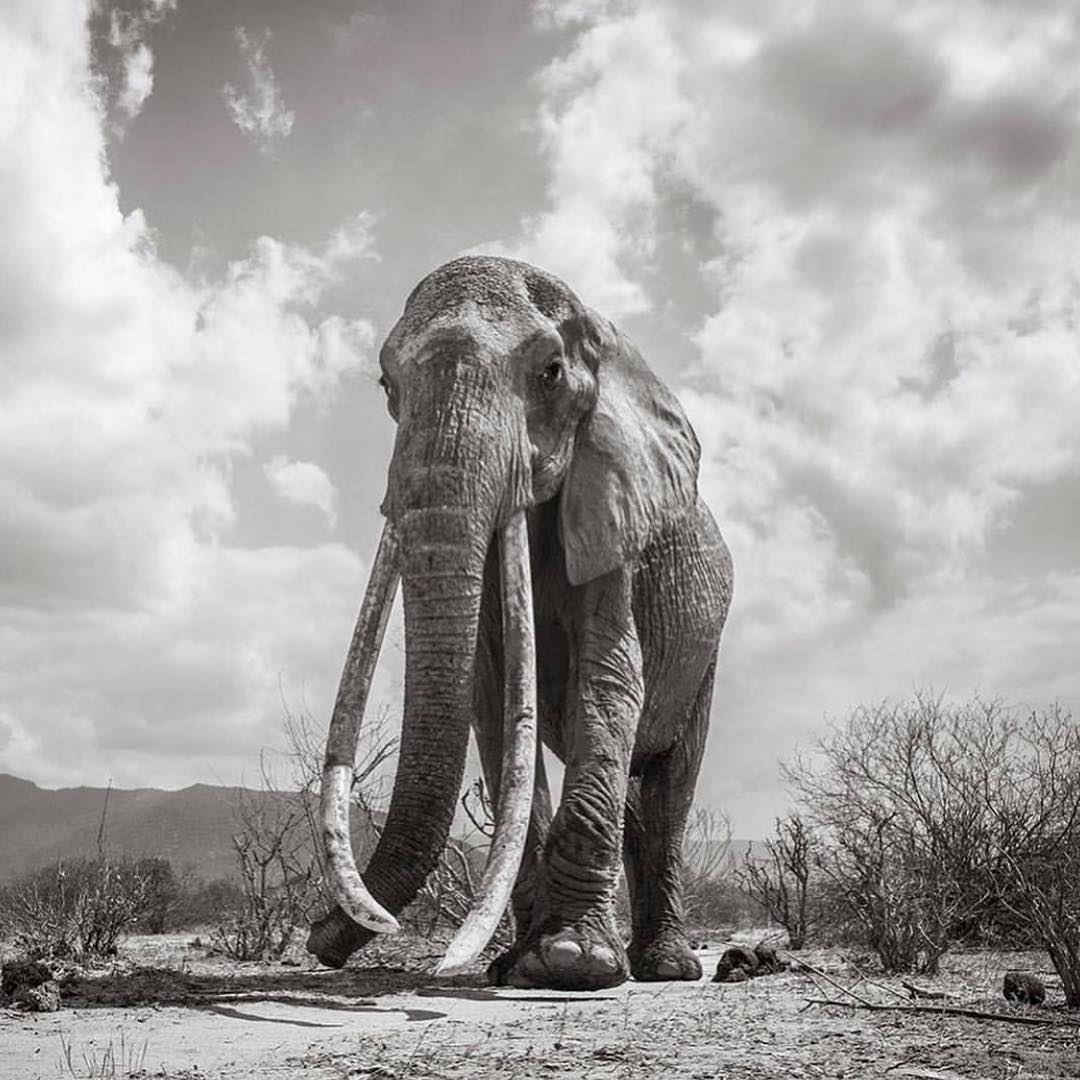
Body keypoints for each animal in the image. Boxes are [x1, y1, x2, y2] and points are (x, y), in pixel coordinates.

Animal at [305, 255, 732, 991]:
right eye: (387, 384)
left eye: (550, 372)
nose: (316, 941)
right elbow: (496, 701)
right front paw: (518, 967)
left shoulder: (613, 511)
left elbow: (608, 679)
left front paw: (572, 964)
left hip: (707, 651)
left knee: (670, 788)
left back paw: (666, 968)